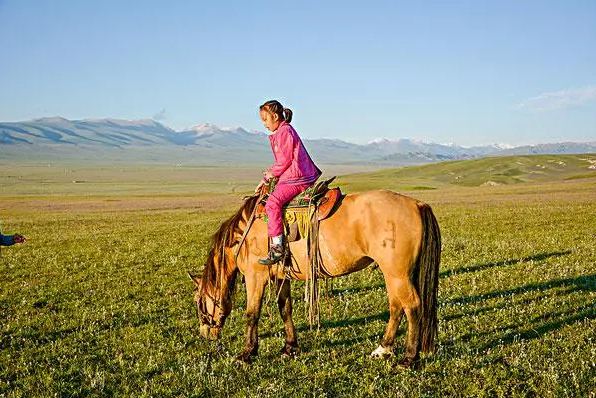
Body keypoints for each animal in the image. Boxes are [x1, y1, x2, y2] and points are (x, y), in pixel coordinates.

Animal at [189, 188, 440, 368]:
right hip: (393, 274)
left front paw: (247, 353)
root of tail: (417, 204)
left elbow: (252, 314)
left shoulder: (255, 276)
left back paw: (408, 359)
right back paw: (383, 349)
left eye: (199, 302)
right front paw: (290, 347)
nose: (205, 334)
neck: (246, 233)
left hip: (397, 273)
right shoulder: (281, 276)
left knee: (412, 306)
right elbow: (285, 309)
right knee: (396, 307)